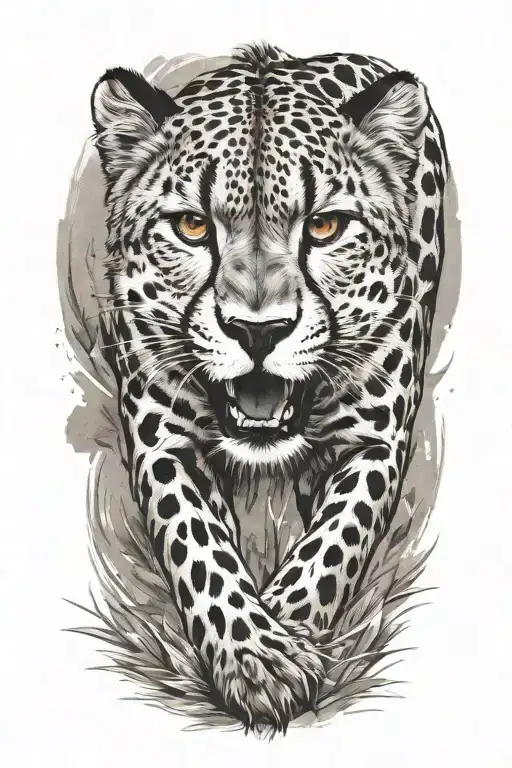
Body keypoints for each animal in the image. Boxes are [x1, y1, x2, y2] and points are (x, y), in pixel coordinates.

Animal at [90, 41, 449, 734]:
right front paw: (257, 657)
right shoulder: (162, 441)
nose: (259, 331)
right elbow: (199, 545)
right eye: (192, 227)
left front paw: (285, 640)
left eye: (327, 227)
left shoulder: (375, 441)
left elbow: (332, 546)